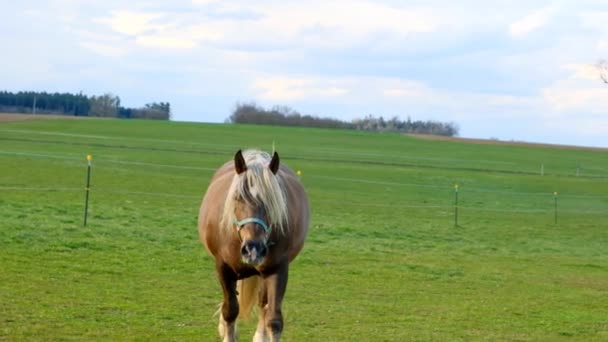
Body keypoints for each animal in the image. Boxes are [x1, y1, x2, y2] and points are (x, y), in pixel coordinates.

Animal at [200, 148, 312, 340]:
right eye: (238, 197)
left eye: (272, 202)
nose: (253, 249)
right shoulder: (223, 267)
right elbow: (230, 310)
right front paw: (228, 333)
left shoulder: (277, 269)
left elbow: (274, 319)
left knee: (263, 304)